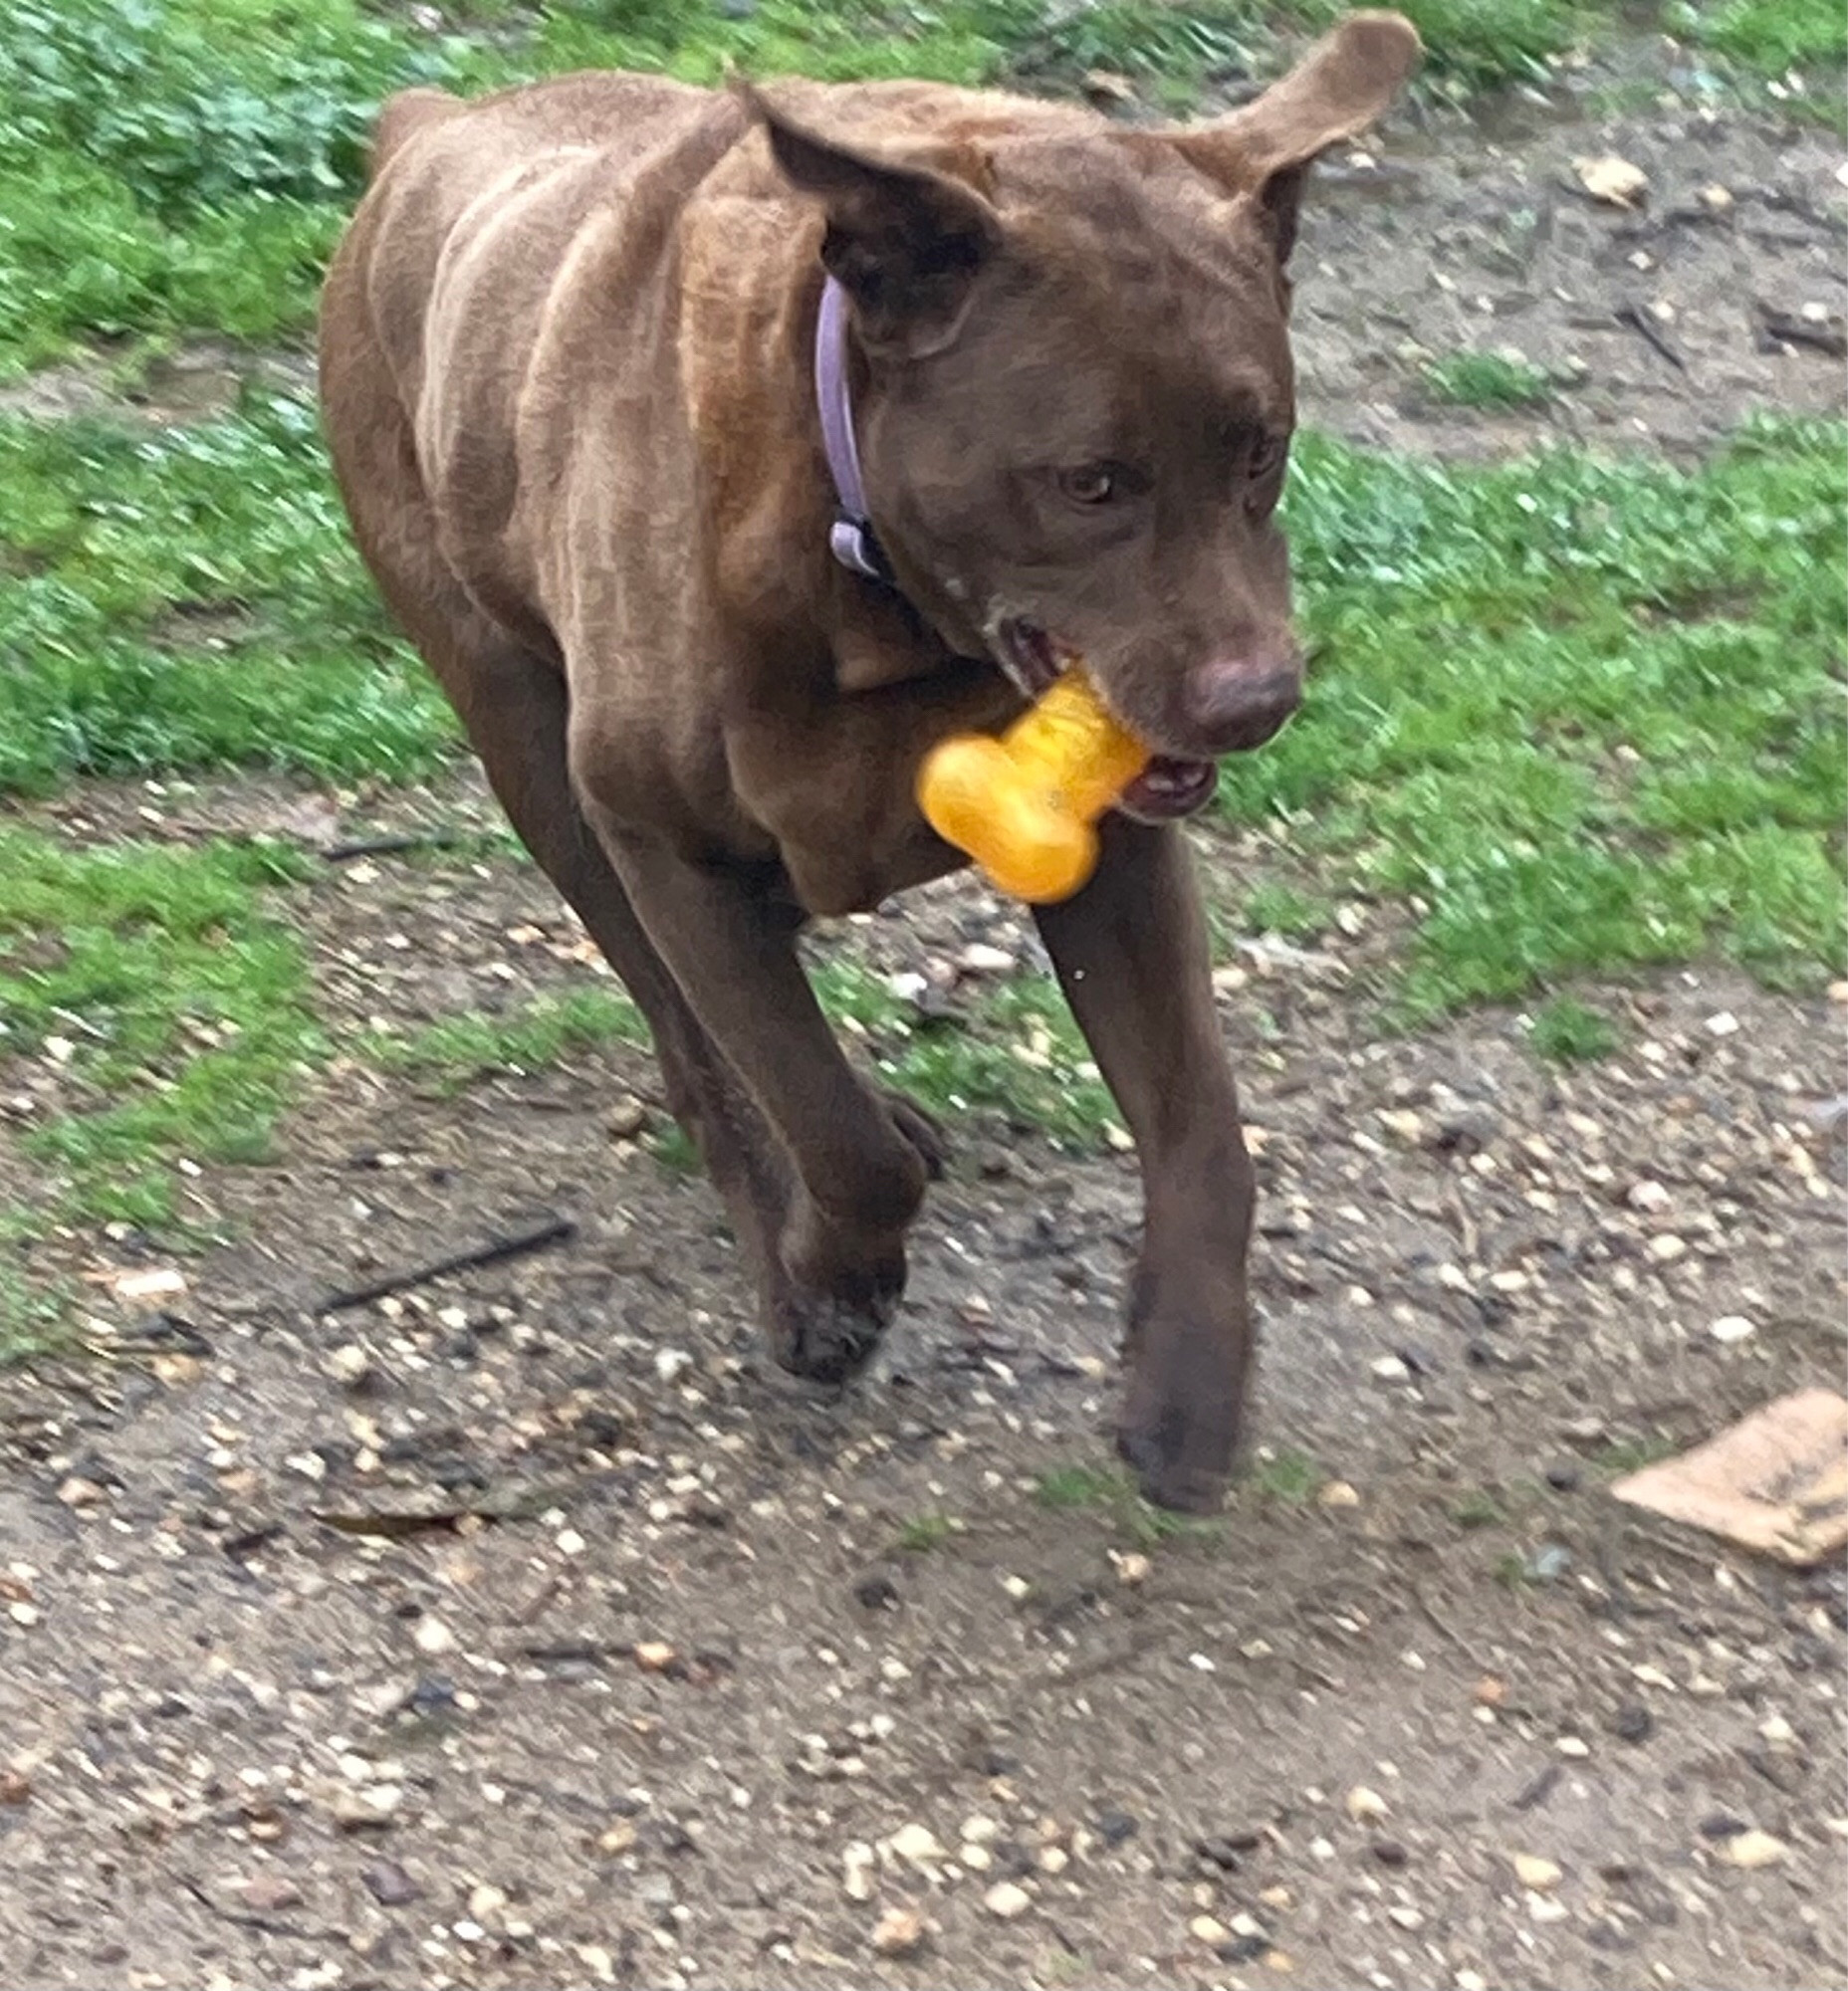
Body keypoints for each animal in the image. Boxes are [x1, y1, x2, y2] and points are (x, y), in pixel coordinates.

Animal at [319, 11, 1426, 1505]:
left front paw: (1188, 1387)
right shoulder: (665, 846)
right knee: (696, 1041)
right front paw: (834, 1284)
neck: (877, 593)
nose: (1257, 699)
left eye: (1261, 449)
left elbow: (1202, 1128)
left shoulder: (1115, 853)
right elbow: (816, 1121)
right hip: (523, 739)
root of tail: (427, 129)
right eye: (1090, 480)